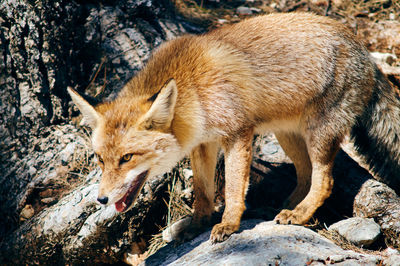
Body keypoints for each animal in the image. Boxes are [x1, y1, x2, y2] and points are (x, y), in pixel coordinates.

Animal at [69, 13, 400, 243]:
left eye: (127, 158)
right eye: (100, 159)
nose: (101, 200)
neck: (194, 92)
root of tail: (363, 49)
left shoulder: (237, 134)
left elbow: (232, 188)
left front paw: (228, 224)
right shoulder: (203, 144)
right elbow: (203, 192)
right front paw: (197, 224)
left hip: (318, 134)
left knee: (325, 181)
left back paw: (300, 214)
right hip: (288, 136)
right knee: (305, 174)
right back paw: (287, 206)